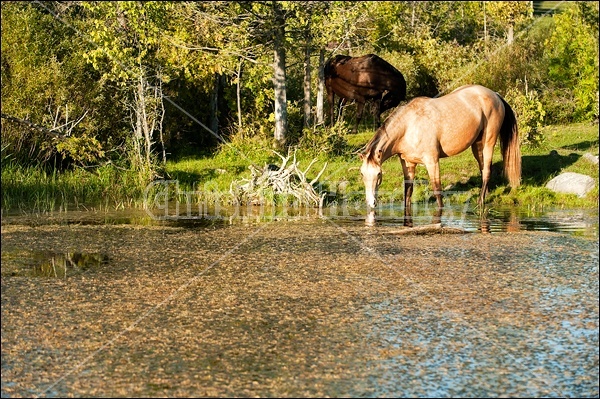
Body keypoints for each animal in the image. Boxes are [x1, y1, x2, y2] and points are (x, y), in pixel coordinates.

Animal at [360, 85, 520, 212]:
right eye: (362, 174)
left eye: (379, 174)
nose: (371, 203)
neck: (408, 127)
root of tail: (496, 95)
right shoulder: (408, 163)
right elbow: (408, 192)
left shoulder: (432, 161)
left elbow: (437, 191)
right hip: (477, 145)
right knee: (483, 170)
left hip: (488, 142)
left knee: (486, 171)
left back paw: (480, 203)